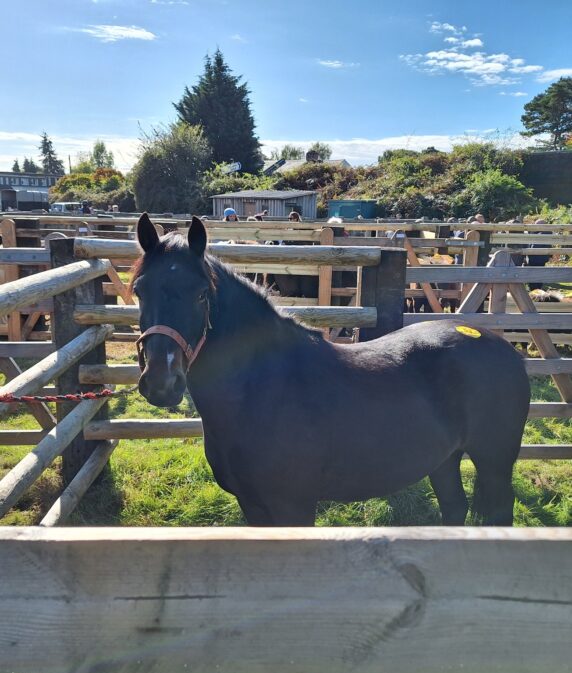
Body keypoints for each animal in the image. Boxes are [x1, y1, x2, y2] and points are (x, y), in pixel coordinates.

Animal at [132, 213, 531, 526]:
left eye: (201, 294)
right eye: (139, 291)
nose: (162, 382)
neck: (263, 389)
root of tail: (504, 348)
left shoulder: (293, 507)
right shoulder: (252, 505)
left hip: (494, 462)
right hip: (445, 459)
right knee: (454, 508)